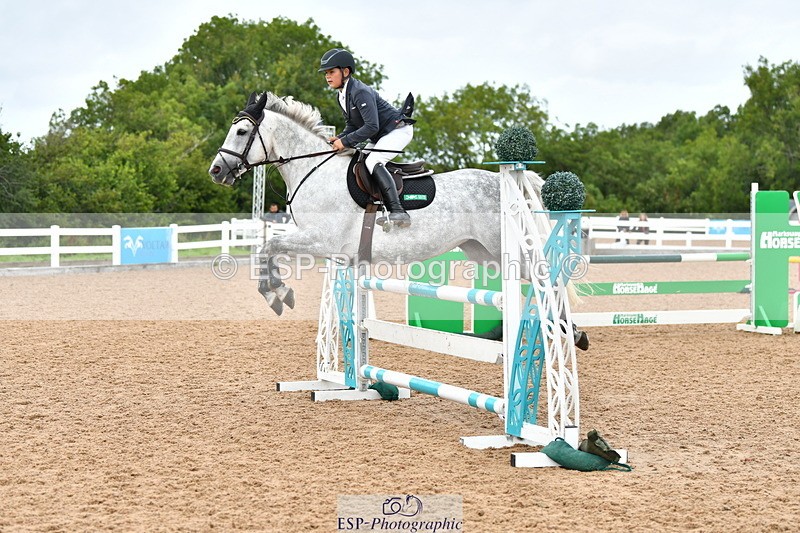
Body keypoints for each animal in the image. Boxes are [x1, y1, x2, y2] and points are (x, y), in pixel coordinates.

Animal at [208, 92, 559, 317]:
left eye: (242, 131)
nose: (216, 171)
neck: (314, 169)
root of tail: (504, 181)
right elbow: (266, 249)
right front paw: (278, 293)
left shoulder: (320, 240)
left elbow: (268, 246)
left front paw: (277, 295)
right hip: (482, 251)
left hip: (506, 248)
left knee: (547, 280)